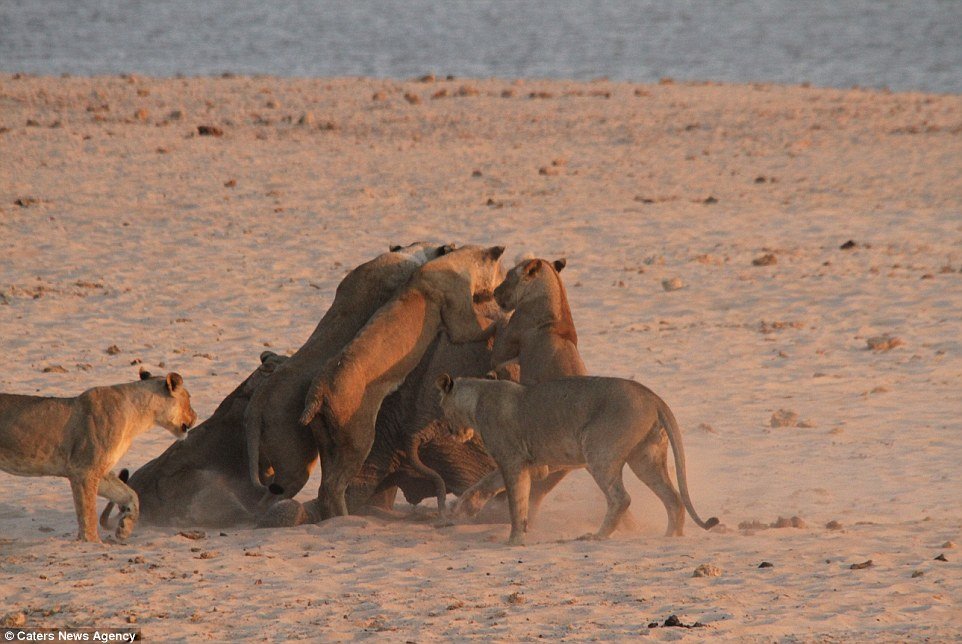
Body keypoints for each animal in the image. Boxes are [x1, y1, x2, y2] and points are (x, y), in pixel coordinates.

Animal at [0, 370, 195, 540]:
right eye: (188, 398)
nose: (195, 416)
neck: (138, 417)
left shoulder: (100, 473)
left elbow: (130, 495)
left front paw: (124, 529)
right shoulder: (84, 471)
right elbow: (88, 513)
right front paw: (92, 542)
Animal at [302, 244, 506, 520]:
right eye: (503, 272)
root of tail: (319, 390)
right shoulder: (460, 321)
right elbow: (483, 327)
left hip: (326, 440)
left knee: (328, 486)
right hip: (358, 440)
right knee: (335, 486)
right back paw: (344, 516)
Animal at [434, 374, 712, 544]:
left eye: (442, 408)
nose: (450, 431)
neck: (477, 398)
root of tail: (653, 397)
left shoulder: (512, 460)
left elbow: (516, 502)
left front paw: (514, 540)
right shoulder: (533, 464)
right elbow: (487, 483)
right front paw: (466, 506)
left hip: (598, 450)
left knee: (621, 498)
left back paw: (597, 536)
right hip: (646, 458)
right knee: (673, 498)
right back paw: (671, 536)